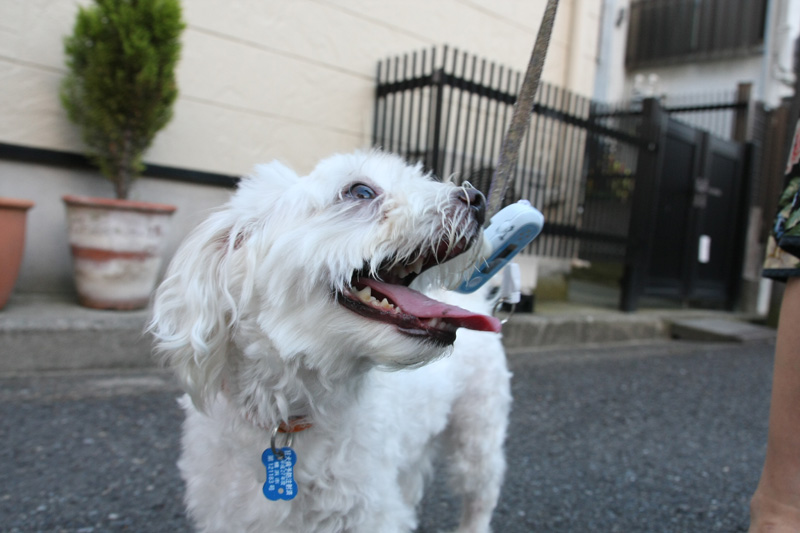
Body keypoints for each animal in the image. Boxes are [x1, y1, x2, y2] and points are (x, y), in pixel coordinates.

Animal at [150, 151, 512, 532]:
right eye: (361, 191)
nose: (477, 199)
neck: (288, 417)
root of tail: (476, 300)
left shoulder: (369, 512)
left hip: (479, 431)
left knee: (479, 496)